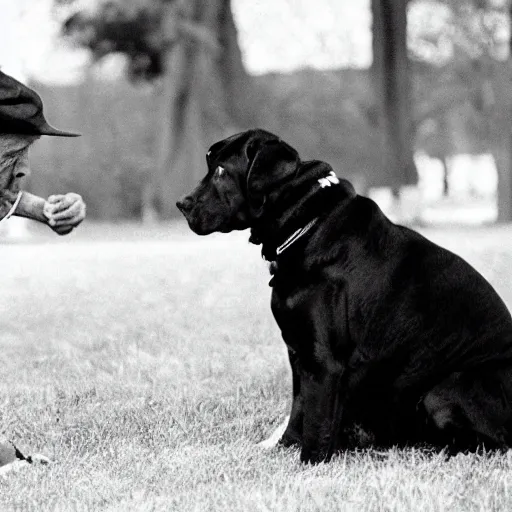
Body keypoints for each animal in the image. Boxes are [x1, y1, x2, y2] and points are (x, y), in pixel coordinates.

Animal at [177, 129, 512, 464]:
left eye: (221, 171)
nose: (182, 203)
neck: (305, 225)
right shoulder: (300, 352)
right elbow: (299, 409)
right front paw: (286, 447)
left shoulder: (324, 361)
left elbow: (316, 420)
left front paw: (310, 463)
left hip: (447, 387)